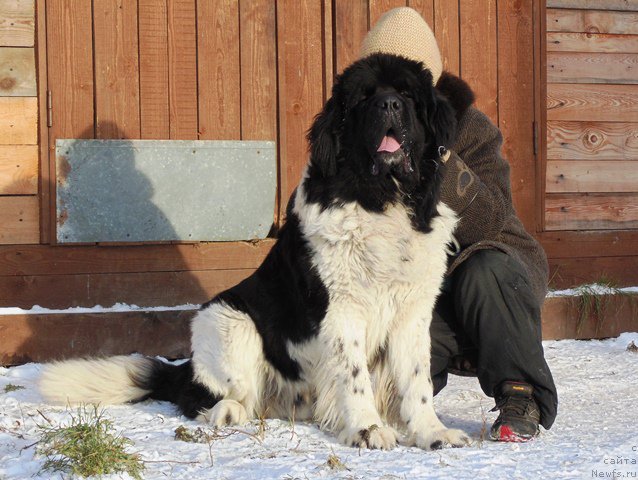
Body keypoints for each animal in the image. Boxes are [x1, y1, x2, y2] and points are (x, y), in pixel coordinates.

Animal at [38, 54, 470, 452]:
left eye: (407, 96)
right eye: (365, 98)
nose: (389, 105)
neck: (381, 200)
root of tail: (184, 369)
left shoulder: (412, 312)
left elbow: (416, 379)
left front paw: (431, 433)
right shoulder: (342, 309)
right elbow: (354, 375)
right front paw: (367, 429)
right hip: (228, 319)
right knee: (202, 395)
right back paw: (228, 411)